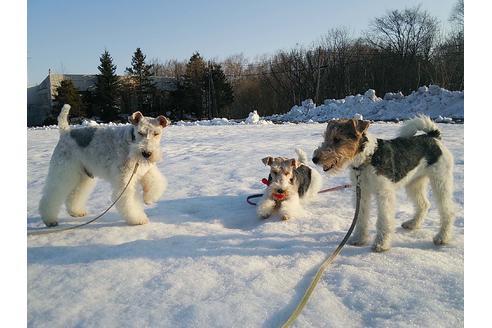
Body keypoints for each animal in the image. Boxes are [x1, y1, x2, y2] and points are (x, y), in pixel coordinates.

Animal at [38, 104, 170, 226]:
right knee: (51, 195)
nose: (146, 153)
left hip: (83, 176)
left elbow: (157, 181)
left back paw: (76, 212)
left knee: (74, 194)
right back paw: (50, 220)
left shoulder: (145, 170)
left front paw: (149, 198)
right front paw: (138, 219)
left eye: (156, 133)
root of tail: (65, 131)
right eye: (140, 132)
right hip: (64, 172)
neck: (131, 143)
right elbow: (129, 201)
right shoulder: (124, 181)